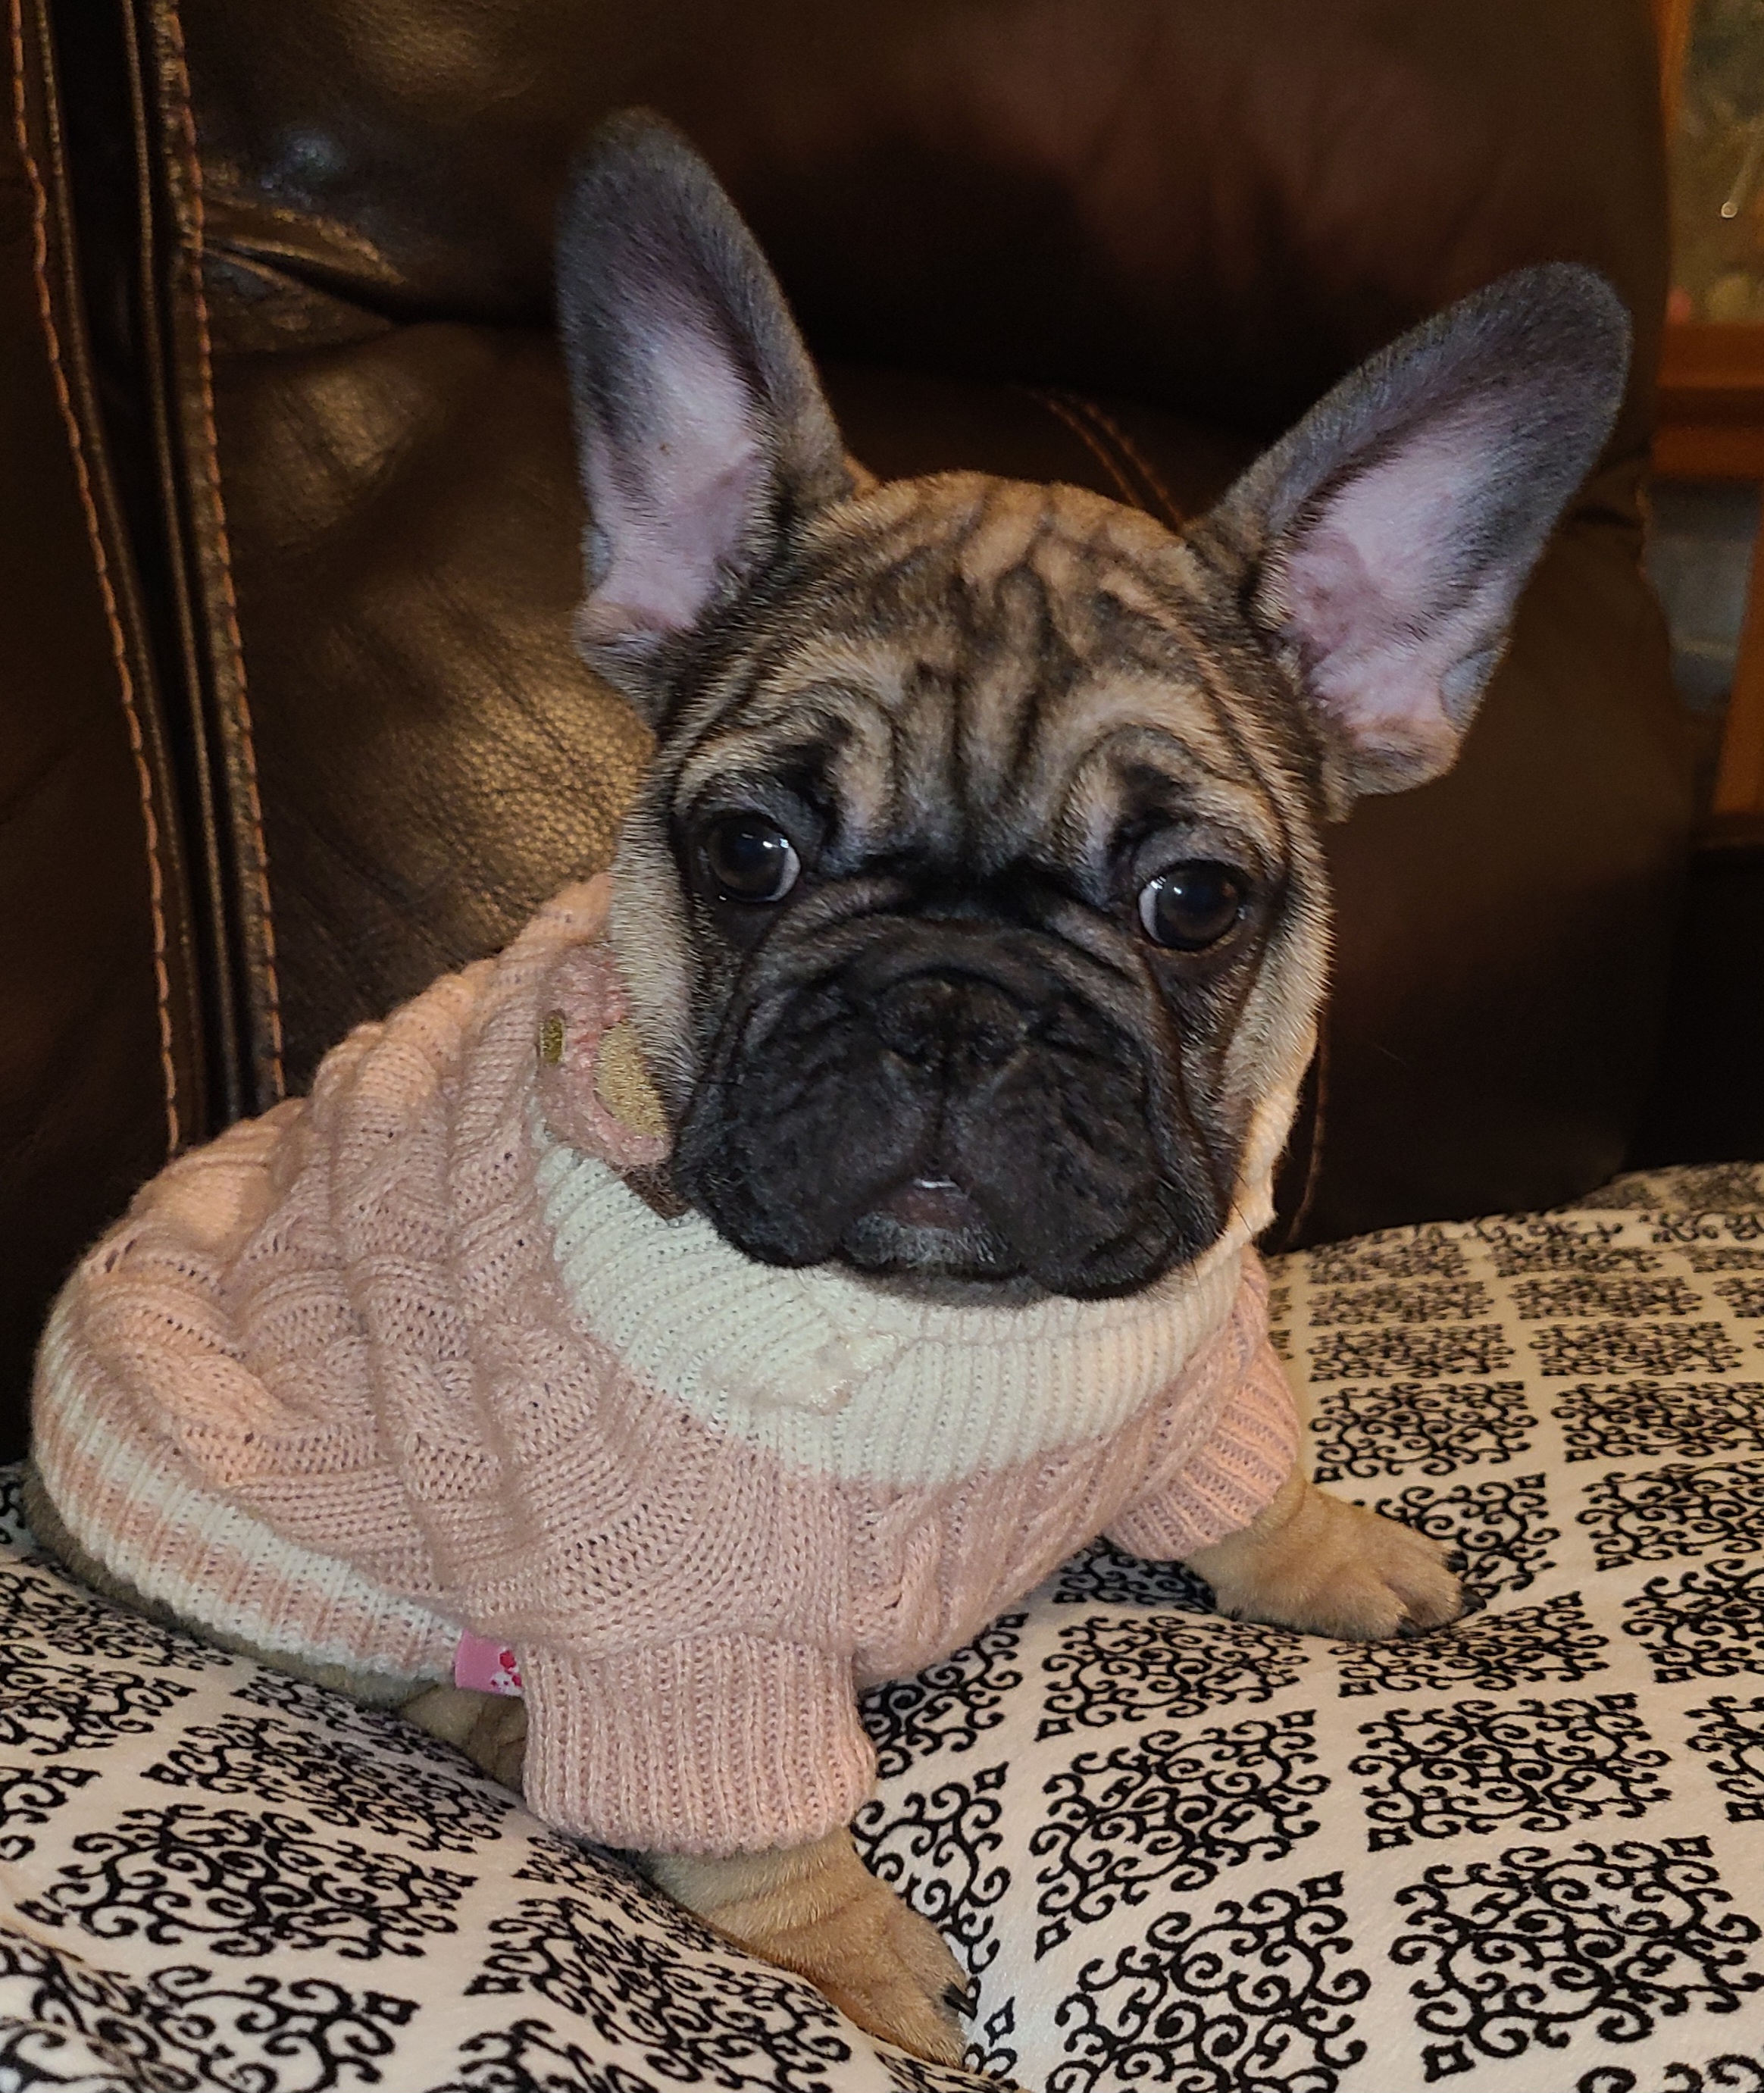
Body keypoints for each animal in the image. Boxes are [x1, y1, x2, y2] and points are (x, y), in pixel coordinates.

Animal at [26, 111, 1627, 2070]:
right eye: (748, 852)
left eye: (1193, 900)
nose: (947, 1002)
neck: (947, 1334)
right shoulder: (679, 1636)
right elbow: (761, 1830)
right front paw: (860, 1968)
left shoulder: (1195, 1378)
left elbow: (1244, 1484)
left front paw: (1329, 1553)